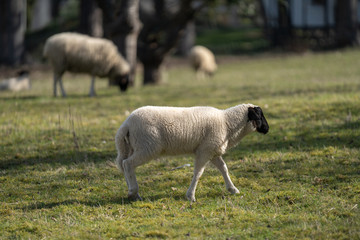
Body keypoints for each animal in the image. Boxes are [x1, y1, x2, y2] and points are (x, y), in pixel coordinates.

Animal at [114, 104, 268, 202]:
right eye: (259, 115)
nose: (267, 129)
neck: (226, 123)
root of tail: (126, 124)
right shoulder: (204, 151)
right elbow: (198, 173)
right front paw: (190, 196)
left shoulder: (212, 150)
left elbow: (224, 168)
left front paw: (232, 189)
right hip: (147, 147)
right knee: (128, 164)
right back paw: (133, 192)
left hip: (131, 147)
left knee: (124, 165)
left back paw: (134, 194)